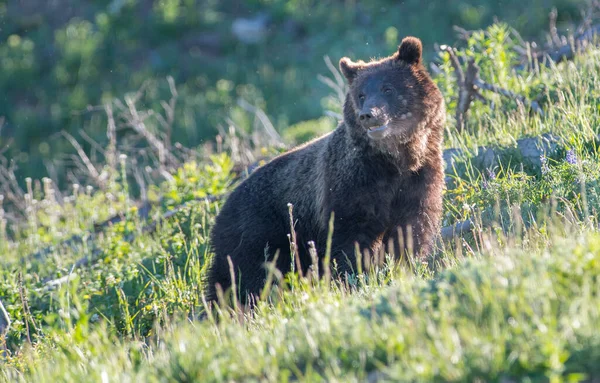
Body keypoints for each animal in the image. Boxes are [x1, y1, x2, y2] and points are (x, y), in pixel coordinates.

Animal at [206, 36, 446, 306]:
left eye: (388, 88)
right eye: (361, 94)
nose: (368, 115)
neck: (394, 162)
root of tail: (224, 203)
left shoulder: (419, 179)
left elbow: (412, 228)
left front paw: (405, 266)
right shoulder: (353, 184)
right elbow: (352, 237)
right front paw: (357, 276)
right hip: (256, 232)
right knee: (241, 278)